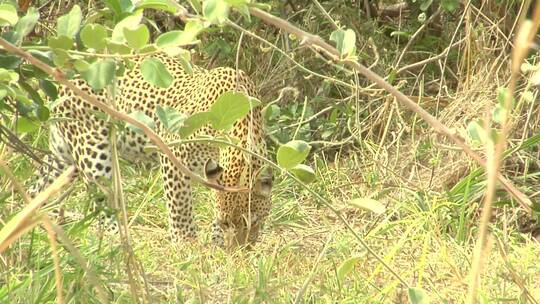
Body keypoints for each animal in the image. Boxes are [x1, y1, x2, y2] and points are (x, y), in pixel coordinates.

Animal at [28, 53, 274, 248]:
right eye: (226, 222)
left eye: (254, 222)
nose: (239, 251)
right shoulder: (173, 151)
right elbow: (180, 206)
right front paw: (186, 244)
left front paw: (217, 243)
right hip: (93, 150)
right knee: (104, 202)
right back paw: (120, 239)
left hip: (64, 154)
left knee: (37, 188)